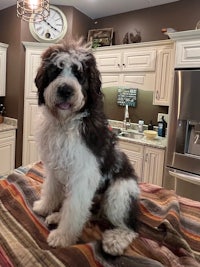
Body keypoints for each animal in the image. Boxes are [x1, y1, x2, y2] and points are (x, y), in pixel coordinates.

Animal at [32, 38, 140, 256]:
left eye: (79, 74)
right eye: (56, 70)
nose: (65, 90)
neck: (65, 122)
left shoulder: (83, 174)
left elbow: (74, 209)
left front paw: (62, 236)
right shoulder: (54, 167)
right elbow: (51, 190)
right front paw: (45, 207)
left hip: (120, 193)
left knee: (130, 226)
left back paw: (115, 240)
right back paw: (57, 216)